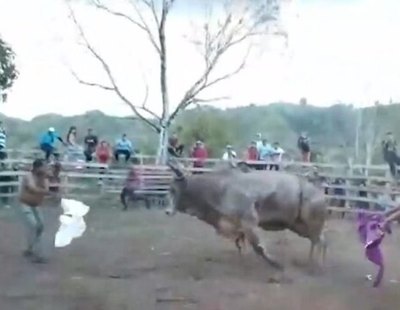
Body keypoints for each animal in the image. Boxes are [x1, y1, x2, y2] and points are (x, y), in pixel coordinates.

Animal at [166, 161, 328, 270]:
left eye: (173, 190)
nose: (167, 211)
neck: (220, 188)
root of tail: (319, 191)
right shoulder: (237, 227)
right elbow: (240, 244)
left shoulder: (249, 222)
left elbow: (259, 247)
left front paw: (276, 264)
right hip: (299, 226)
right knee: (320, 241)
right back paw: (312, 263)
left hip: (311, 222)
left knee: (319, 241)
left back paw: (316, 266)